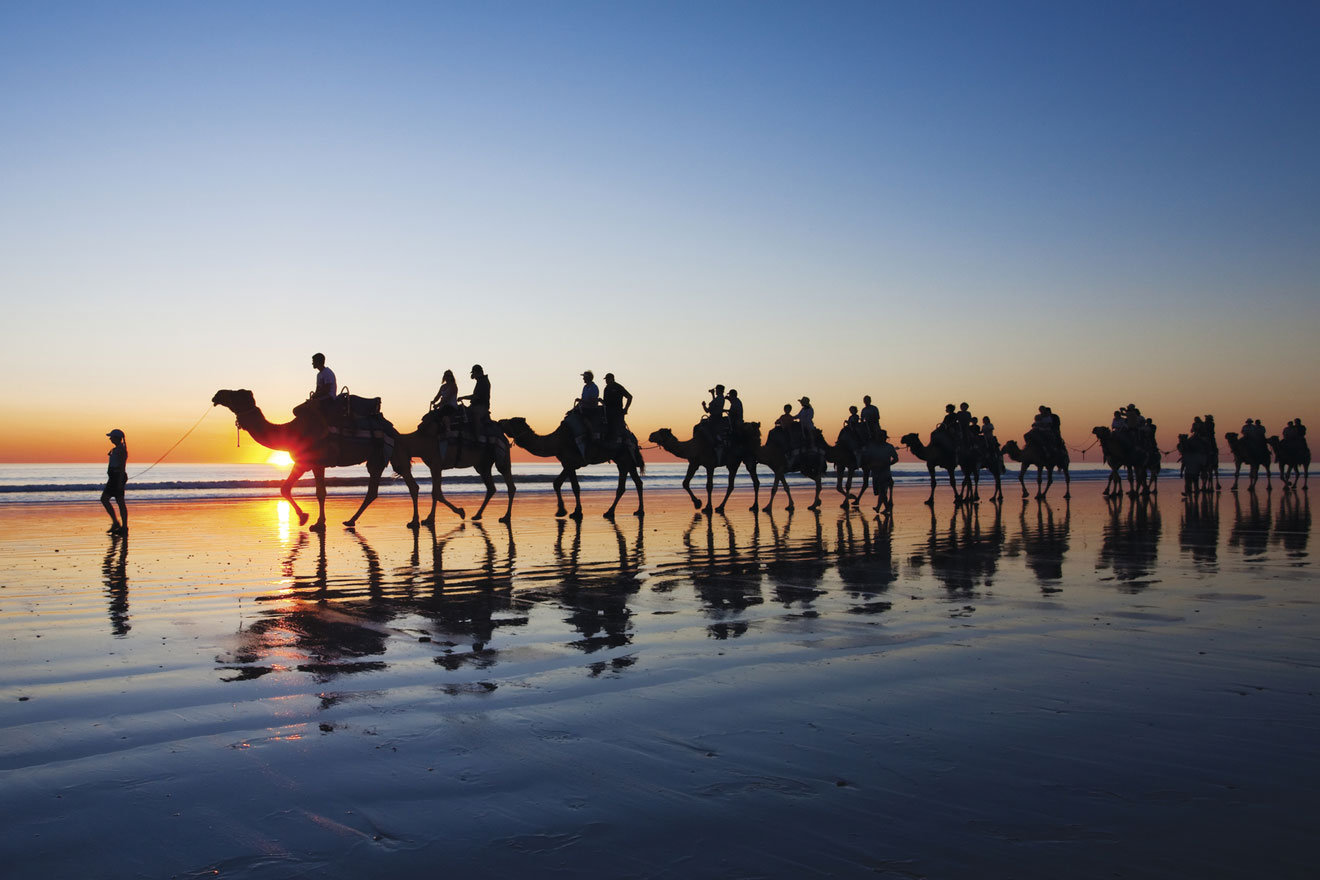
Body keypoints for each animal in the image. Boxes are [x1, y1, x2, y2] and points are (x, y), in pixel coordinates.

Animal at [212, 390, 417, 530]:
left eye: (237, 393)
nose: (217, 395)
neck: (291, 431)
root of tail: (395, 430)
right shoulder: (306, 463)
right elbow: (290, 488)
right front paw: (308, 519)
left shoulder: (313, 462)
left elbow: (316, 492)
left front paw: (313, 521)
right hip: (388, 454)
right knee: (405, 484)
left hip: (381, 454)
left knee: (382, 488)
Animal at [496, 416, 644, 519]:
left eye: (511, 421)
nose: (499, 421)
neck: (556, 442)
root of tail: (633, 437)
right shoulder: (567, 463)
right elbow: (558, 483)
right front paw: (563, 511)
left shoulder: (570, 462)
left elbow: (574, 487)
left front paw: (574, 512)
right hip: (627, 460)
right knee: (638, 482)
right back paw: (639, 510)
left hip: (624, 458)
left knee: (622, 486)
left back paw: (610, 512)